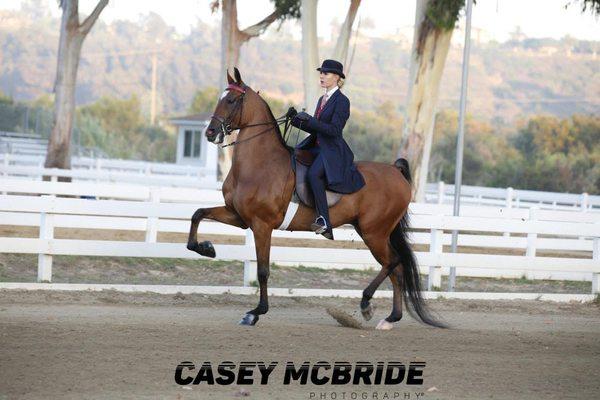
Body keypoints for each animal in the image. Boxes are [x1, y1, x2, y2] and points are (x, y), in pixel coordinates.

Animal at [188, 69, 446, 330]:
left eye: (231, 100)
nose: (210, 133)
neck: (259, 165)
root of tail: (395, 171)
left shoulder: (262, 225)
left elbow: (262, 271)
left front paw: (256, 312)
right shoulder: (239, 217)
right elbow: (198, 214)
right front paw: (206, 248)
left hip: (375, 232)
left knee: (393, 262)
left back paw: (366, 304)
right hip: (372, 231)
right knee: (397, 268)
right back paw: (390, 318)